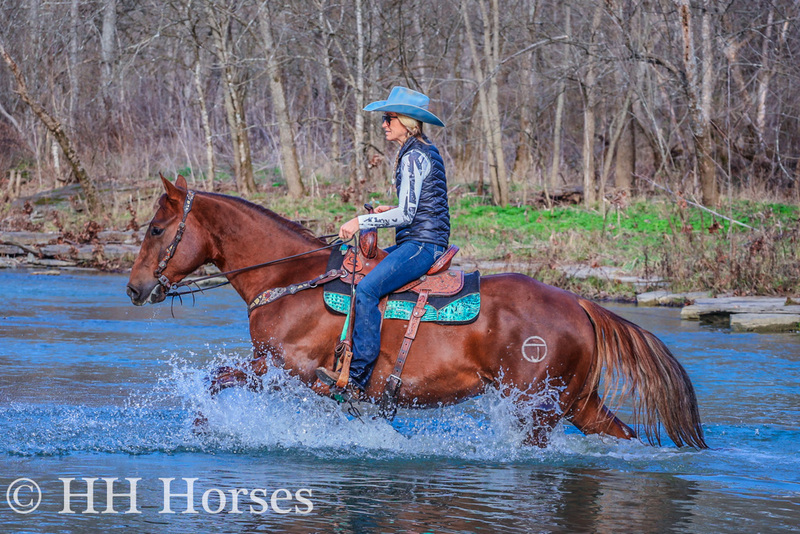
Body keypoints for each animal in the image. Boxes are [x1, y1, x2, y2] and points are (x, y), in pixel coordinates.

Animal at [126, 178, 708, 450]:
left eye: (156, 229)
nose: (134, 288)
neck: (289, 280)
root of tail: (580, 302)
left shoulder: (285, 370)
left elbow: (215, 383)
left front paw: (205, 431)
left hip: (535, 409)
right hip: (578, 403)